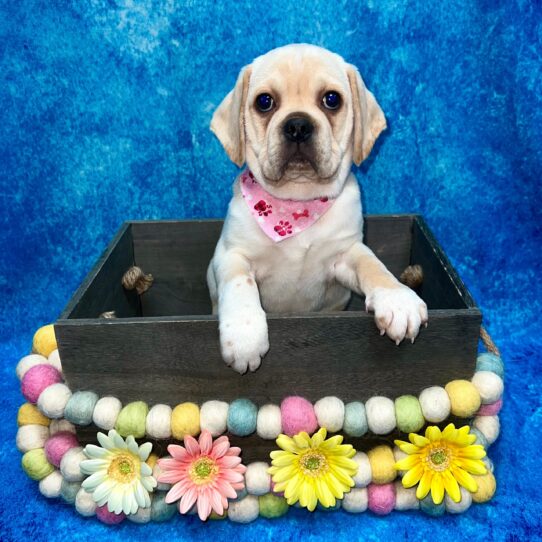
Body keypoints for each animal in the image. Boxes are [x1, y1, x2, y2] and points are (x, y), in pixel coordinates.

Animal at [208, 43, 430, 374]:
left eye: (331, 99)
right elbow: (239, 283)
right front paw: (244, 332)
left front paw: (397, 299)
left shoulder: (347, 252)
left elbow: (374, 266)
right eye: (264, 102)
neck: (296, 206)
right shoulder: (231, 253)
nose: (298, 125)